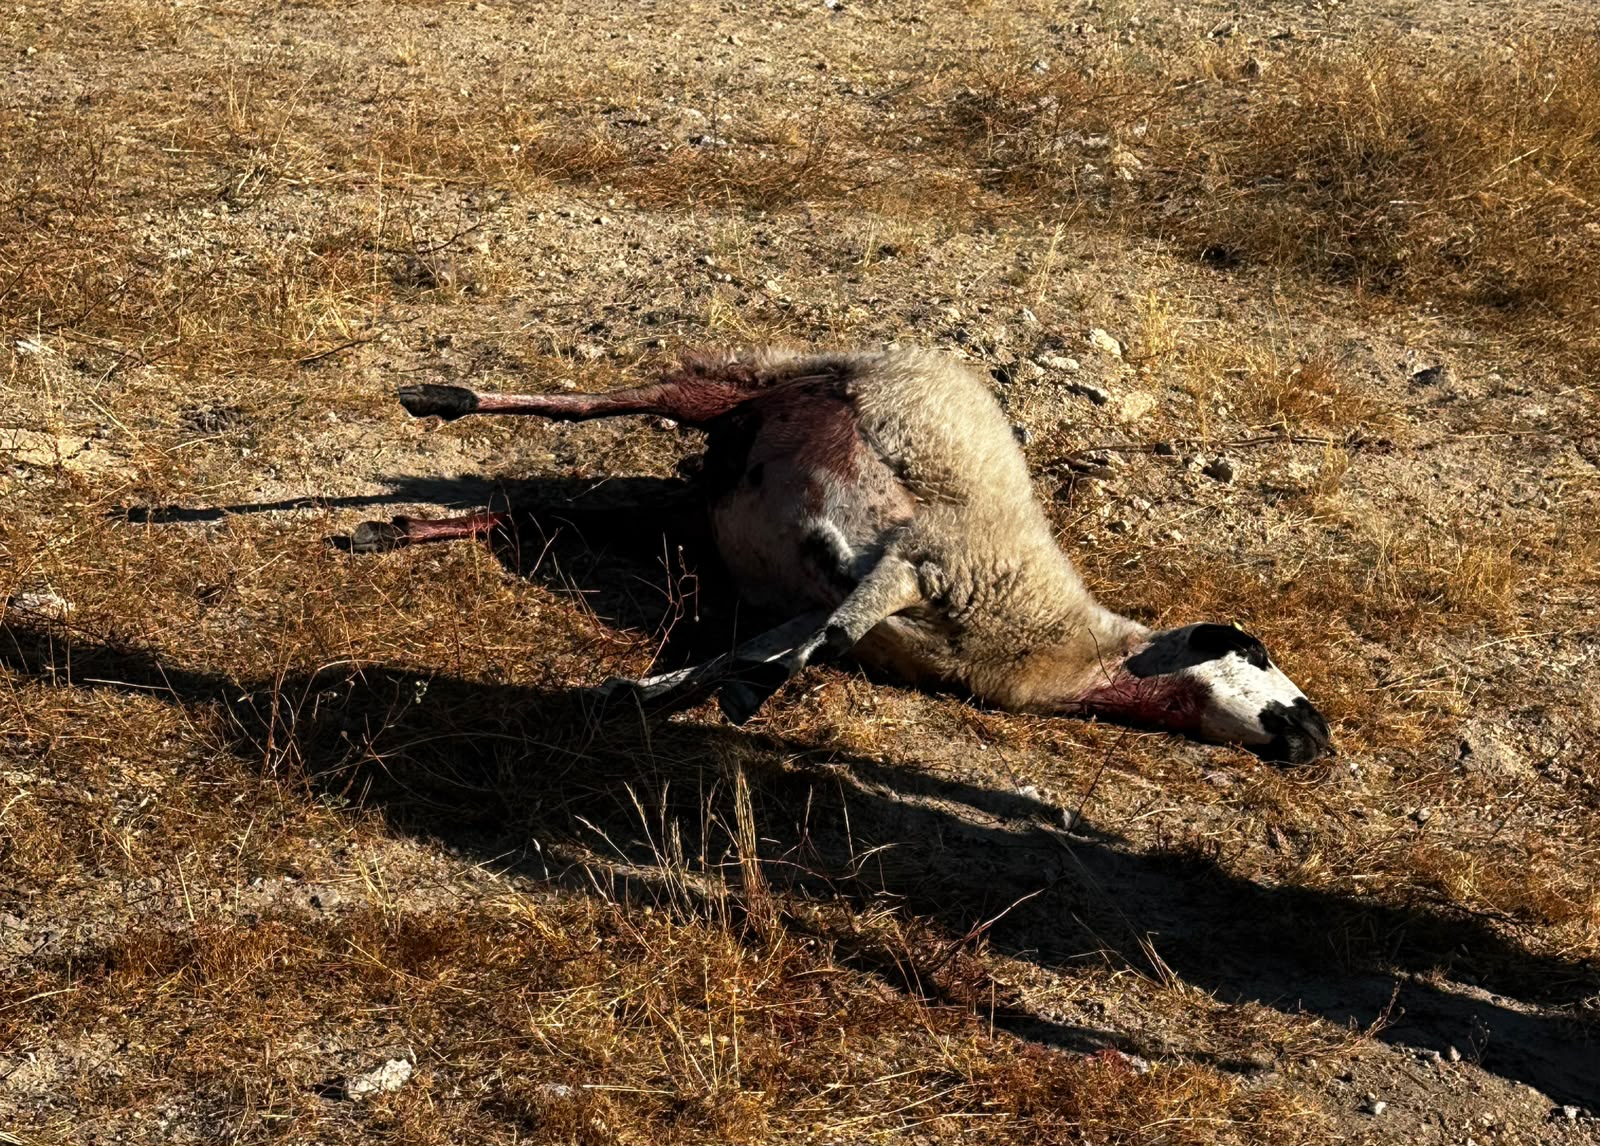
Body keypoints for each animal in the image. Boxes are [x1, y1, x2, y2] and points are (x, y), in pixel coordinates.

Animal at [358, 347, 1332, 763]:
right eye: (1253, 650)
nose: (1318, 734)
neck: (1065, 643)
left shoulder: (815, 606)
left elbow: (747, 653)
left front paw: (640, 693)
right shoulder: (921, 562)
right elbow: (831, 626)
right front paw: (744, 693)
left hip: (684, 519)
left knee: (539, 517)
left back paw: (393, 530)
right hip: (763, 385)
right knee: (624, 396)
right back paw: (438, 400)